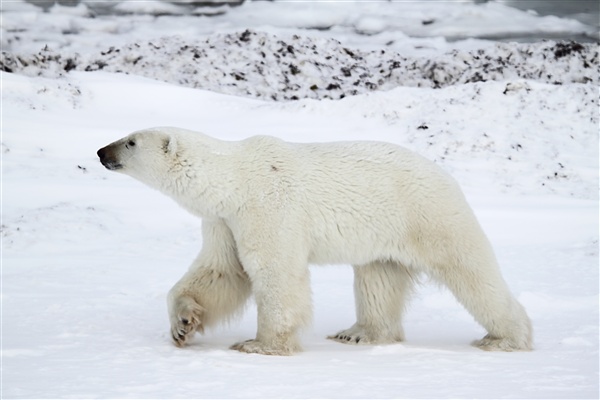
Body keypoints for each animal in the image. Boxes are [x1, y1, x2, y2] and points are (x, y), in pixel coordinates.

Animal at [98, 126, 536, 354]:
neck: (233, 180)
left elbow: (272, 273)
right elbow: (221, 271)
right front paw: (183, 324)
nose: (102, 151)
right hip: (382, 232)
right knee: (377, 279)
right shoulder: (224, 221)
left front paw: (258, 344)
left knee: (469, 269)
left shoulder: (267, 207)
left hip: (426, 213)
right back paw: (359, 333)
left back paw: (505, 338)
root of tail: (446, 175)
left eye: (131, 141)